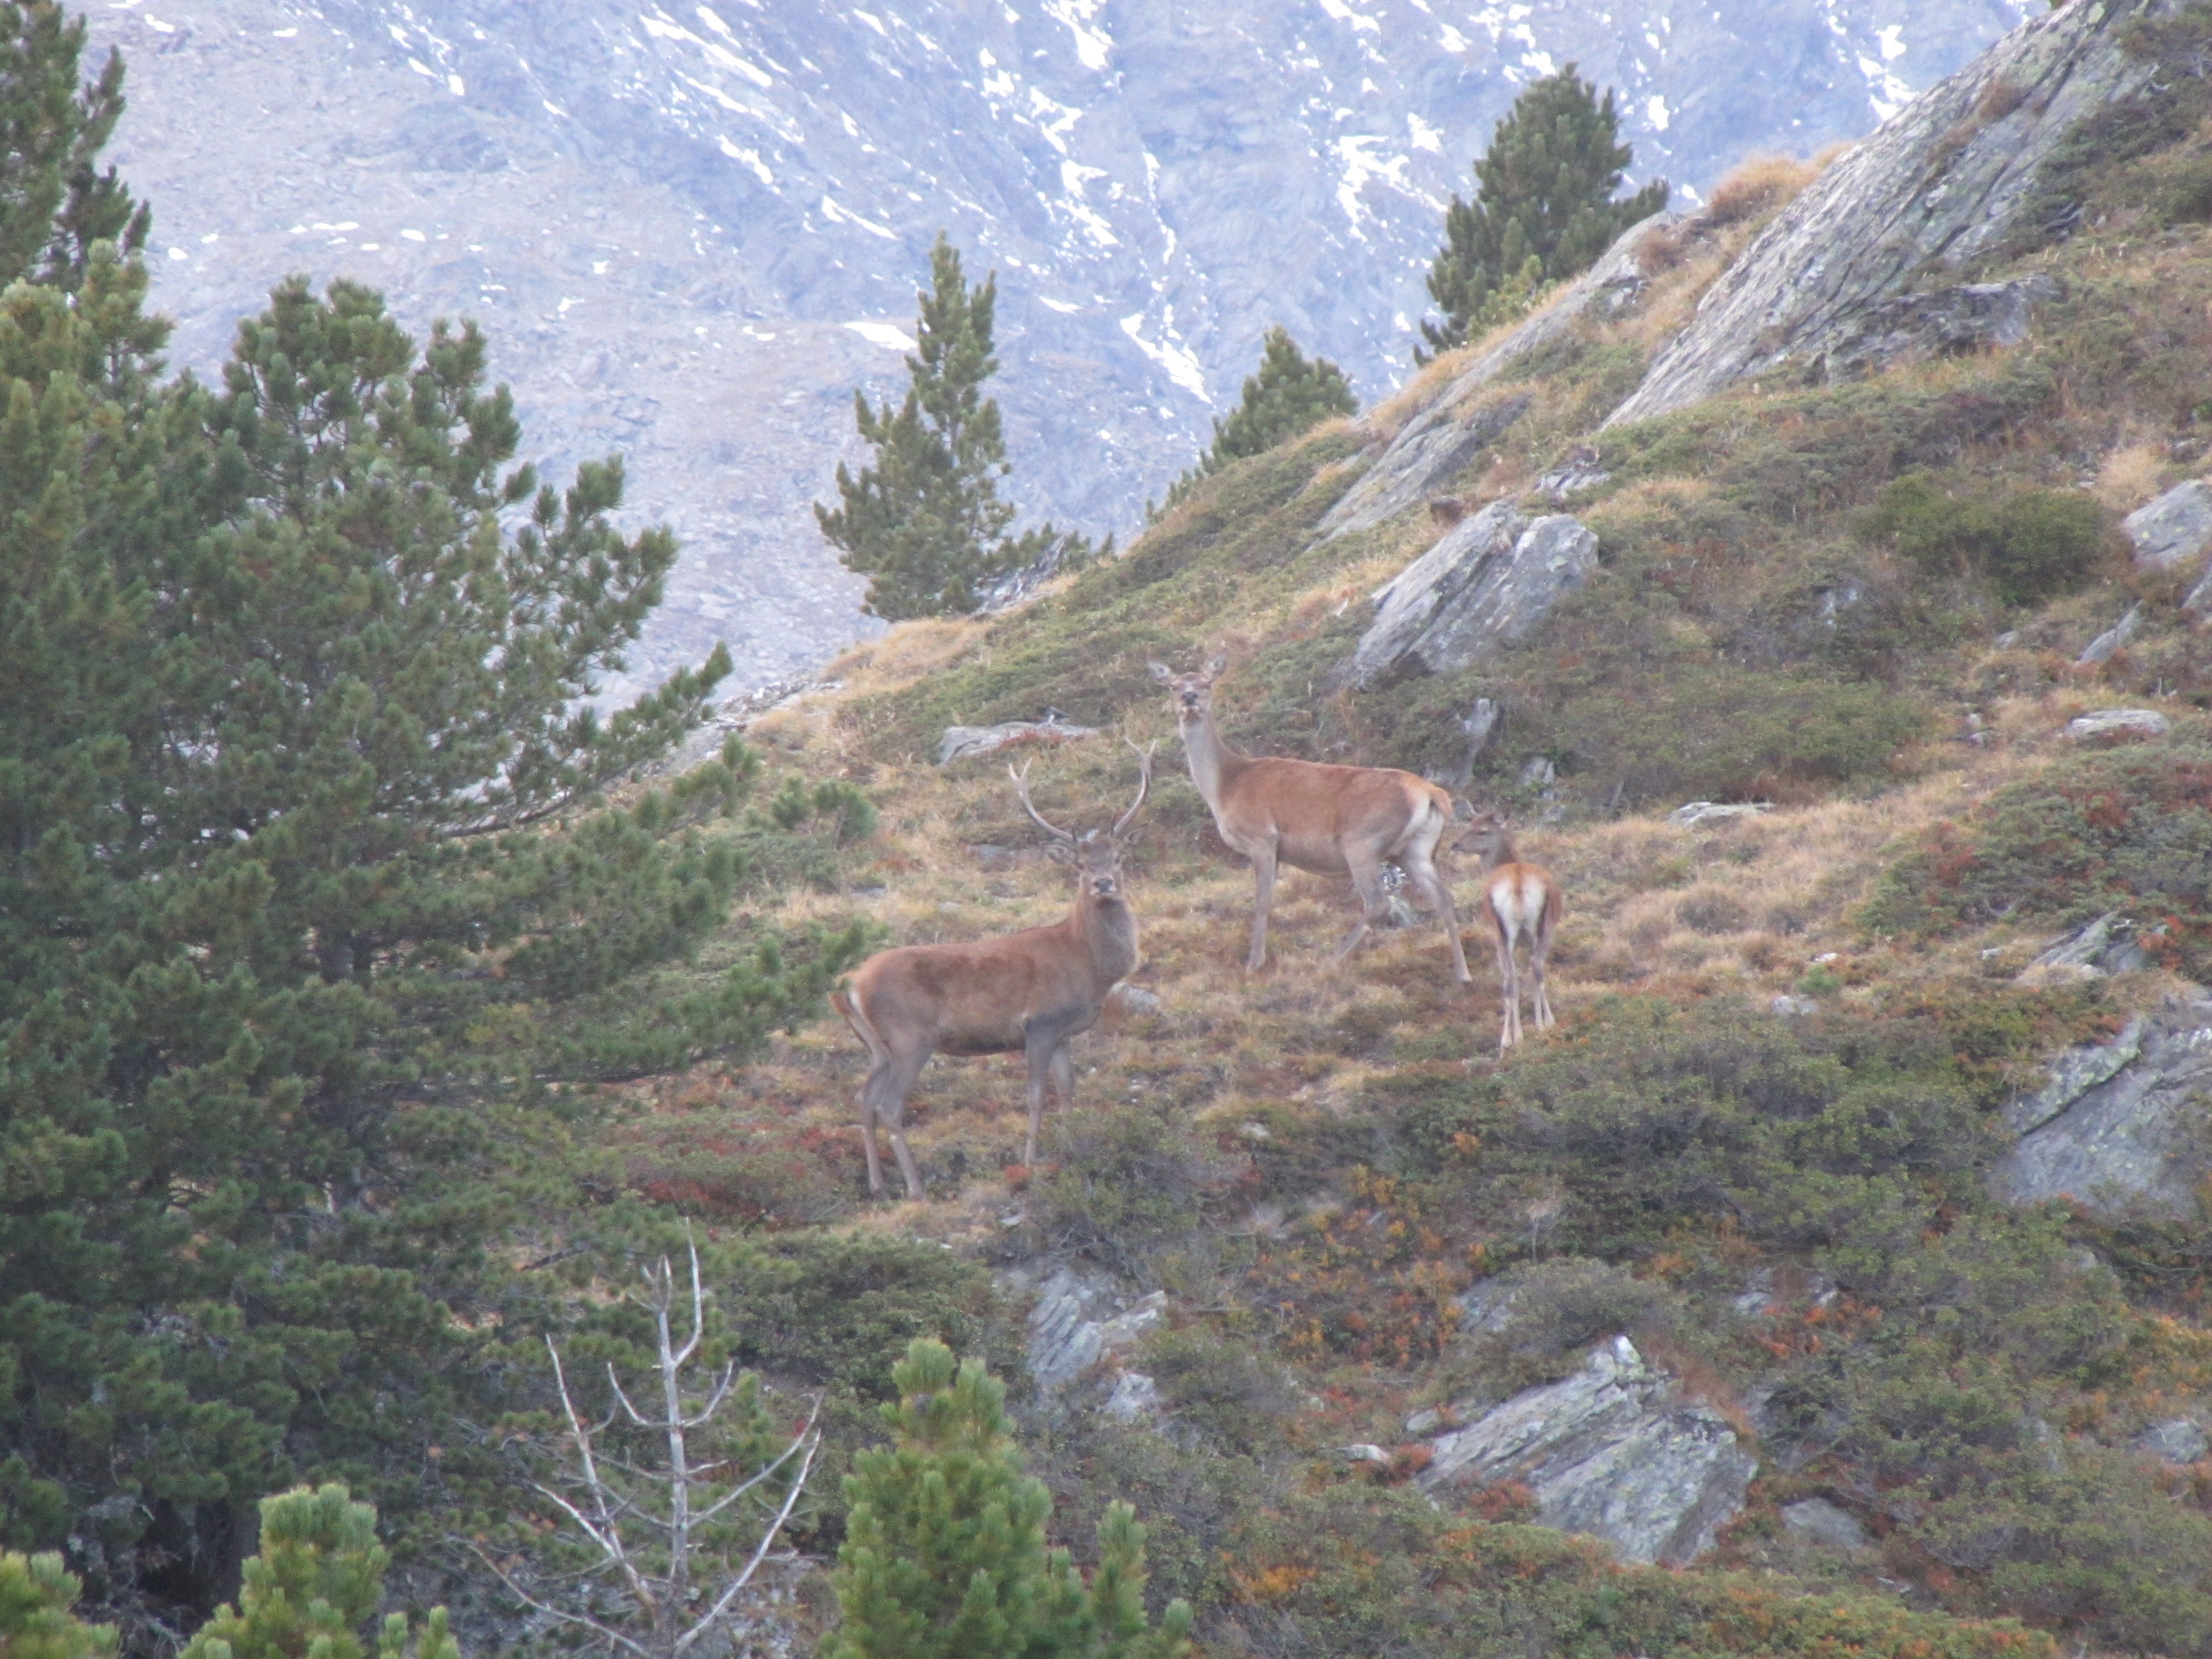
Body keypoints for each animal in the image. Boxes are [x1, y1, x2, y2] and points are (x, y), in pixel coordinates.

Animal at [828, 742, 1153, 1200]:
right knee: (890, 1105)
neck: (1087, 965)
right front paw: (1031, 1161)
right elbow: (1035, 1096)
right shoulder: (1039, 1023)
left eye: (1119, 857)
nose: (1103, 883)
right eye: (1078, 865)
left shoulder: (1064, 1034)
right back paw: (915, 1188)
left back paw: (878, 1184)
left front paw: (1074, 1147)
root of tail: (849, 985)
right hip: (910, 1037)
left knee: (864, 1098)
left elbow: (1068, 1092)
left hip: (876, 1045)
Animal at [1147, 656, 1472, 983]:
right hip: (1415, 850)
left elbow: (1262, 902)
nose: (1189, 697)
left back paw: (1332, 960)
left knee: (1379, 903)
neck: (1225, 787)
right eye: (1173, 686)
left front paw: (1255, 963)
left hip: (1363, 842)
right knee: (1444, 898)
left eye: (1207, 683)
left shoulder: (1262, 837)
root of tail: (1431, 793)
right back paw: (1463, 974)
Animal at [1452, 809, 1562, 1051]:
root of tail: (1518, 886)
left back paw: (1515, 1036)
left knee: (1512, 979)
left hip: (1505, 933)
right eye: (1470, 824)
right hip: (1539, 929)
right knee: (1533, 969)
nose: (1455, 844)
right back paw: (1540, 1026)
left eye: (1482, 830)